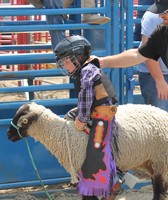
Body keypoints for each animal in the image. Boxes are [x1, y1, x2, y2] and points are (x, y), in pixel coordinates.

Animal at [7, 102, 168, 199]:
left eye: (24, 120)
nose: (8, 134)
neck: (67, 136)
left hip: (161, 160)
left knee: (160, 191)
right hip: (152, 162)